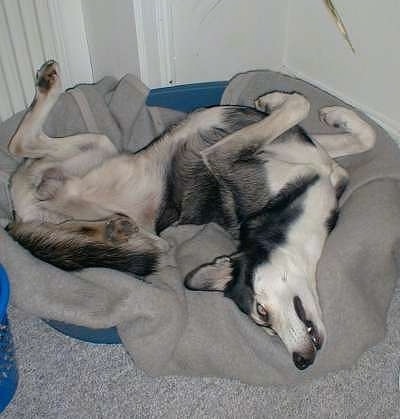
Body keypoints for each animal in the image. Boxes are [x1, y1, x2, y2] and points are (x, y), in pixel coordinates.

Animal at [5, 60, 376, 370]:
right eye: (262, 316)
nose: (301, 361)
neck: (283, 207)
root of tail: (17, 212)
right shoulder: (222, 154)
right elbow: (300, 106)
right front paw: (279, 101)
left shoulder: (320, 159)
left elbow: (361, 137)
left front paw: (307, 107)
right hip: (93, 174)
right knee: (21, 149)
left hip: (96, 148)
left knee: (30, 157)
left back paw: (113, 228)